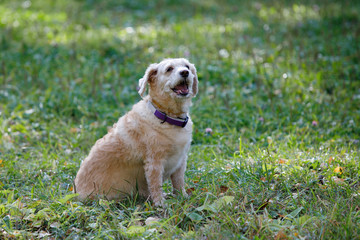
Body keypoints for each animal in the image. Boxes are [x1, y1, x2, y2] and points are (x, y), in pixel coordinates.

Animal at [73, 58, 197, 206]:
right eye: (169, 69)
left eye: (187, 66)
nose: (185, 72)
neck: (167, 117)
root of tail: (76, 194)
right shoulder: (154, 163)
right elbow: (156, 185)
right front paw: (160, 203)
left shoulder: (180, 161)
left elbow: (178, 182)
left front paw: (183, 197)